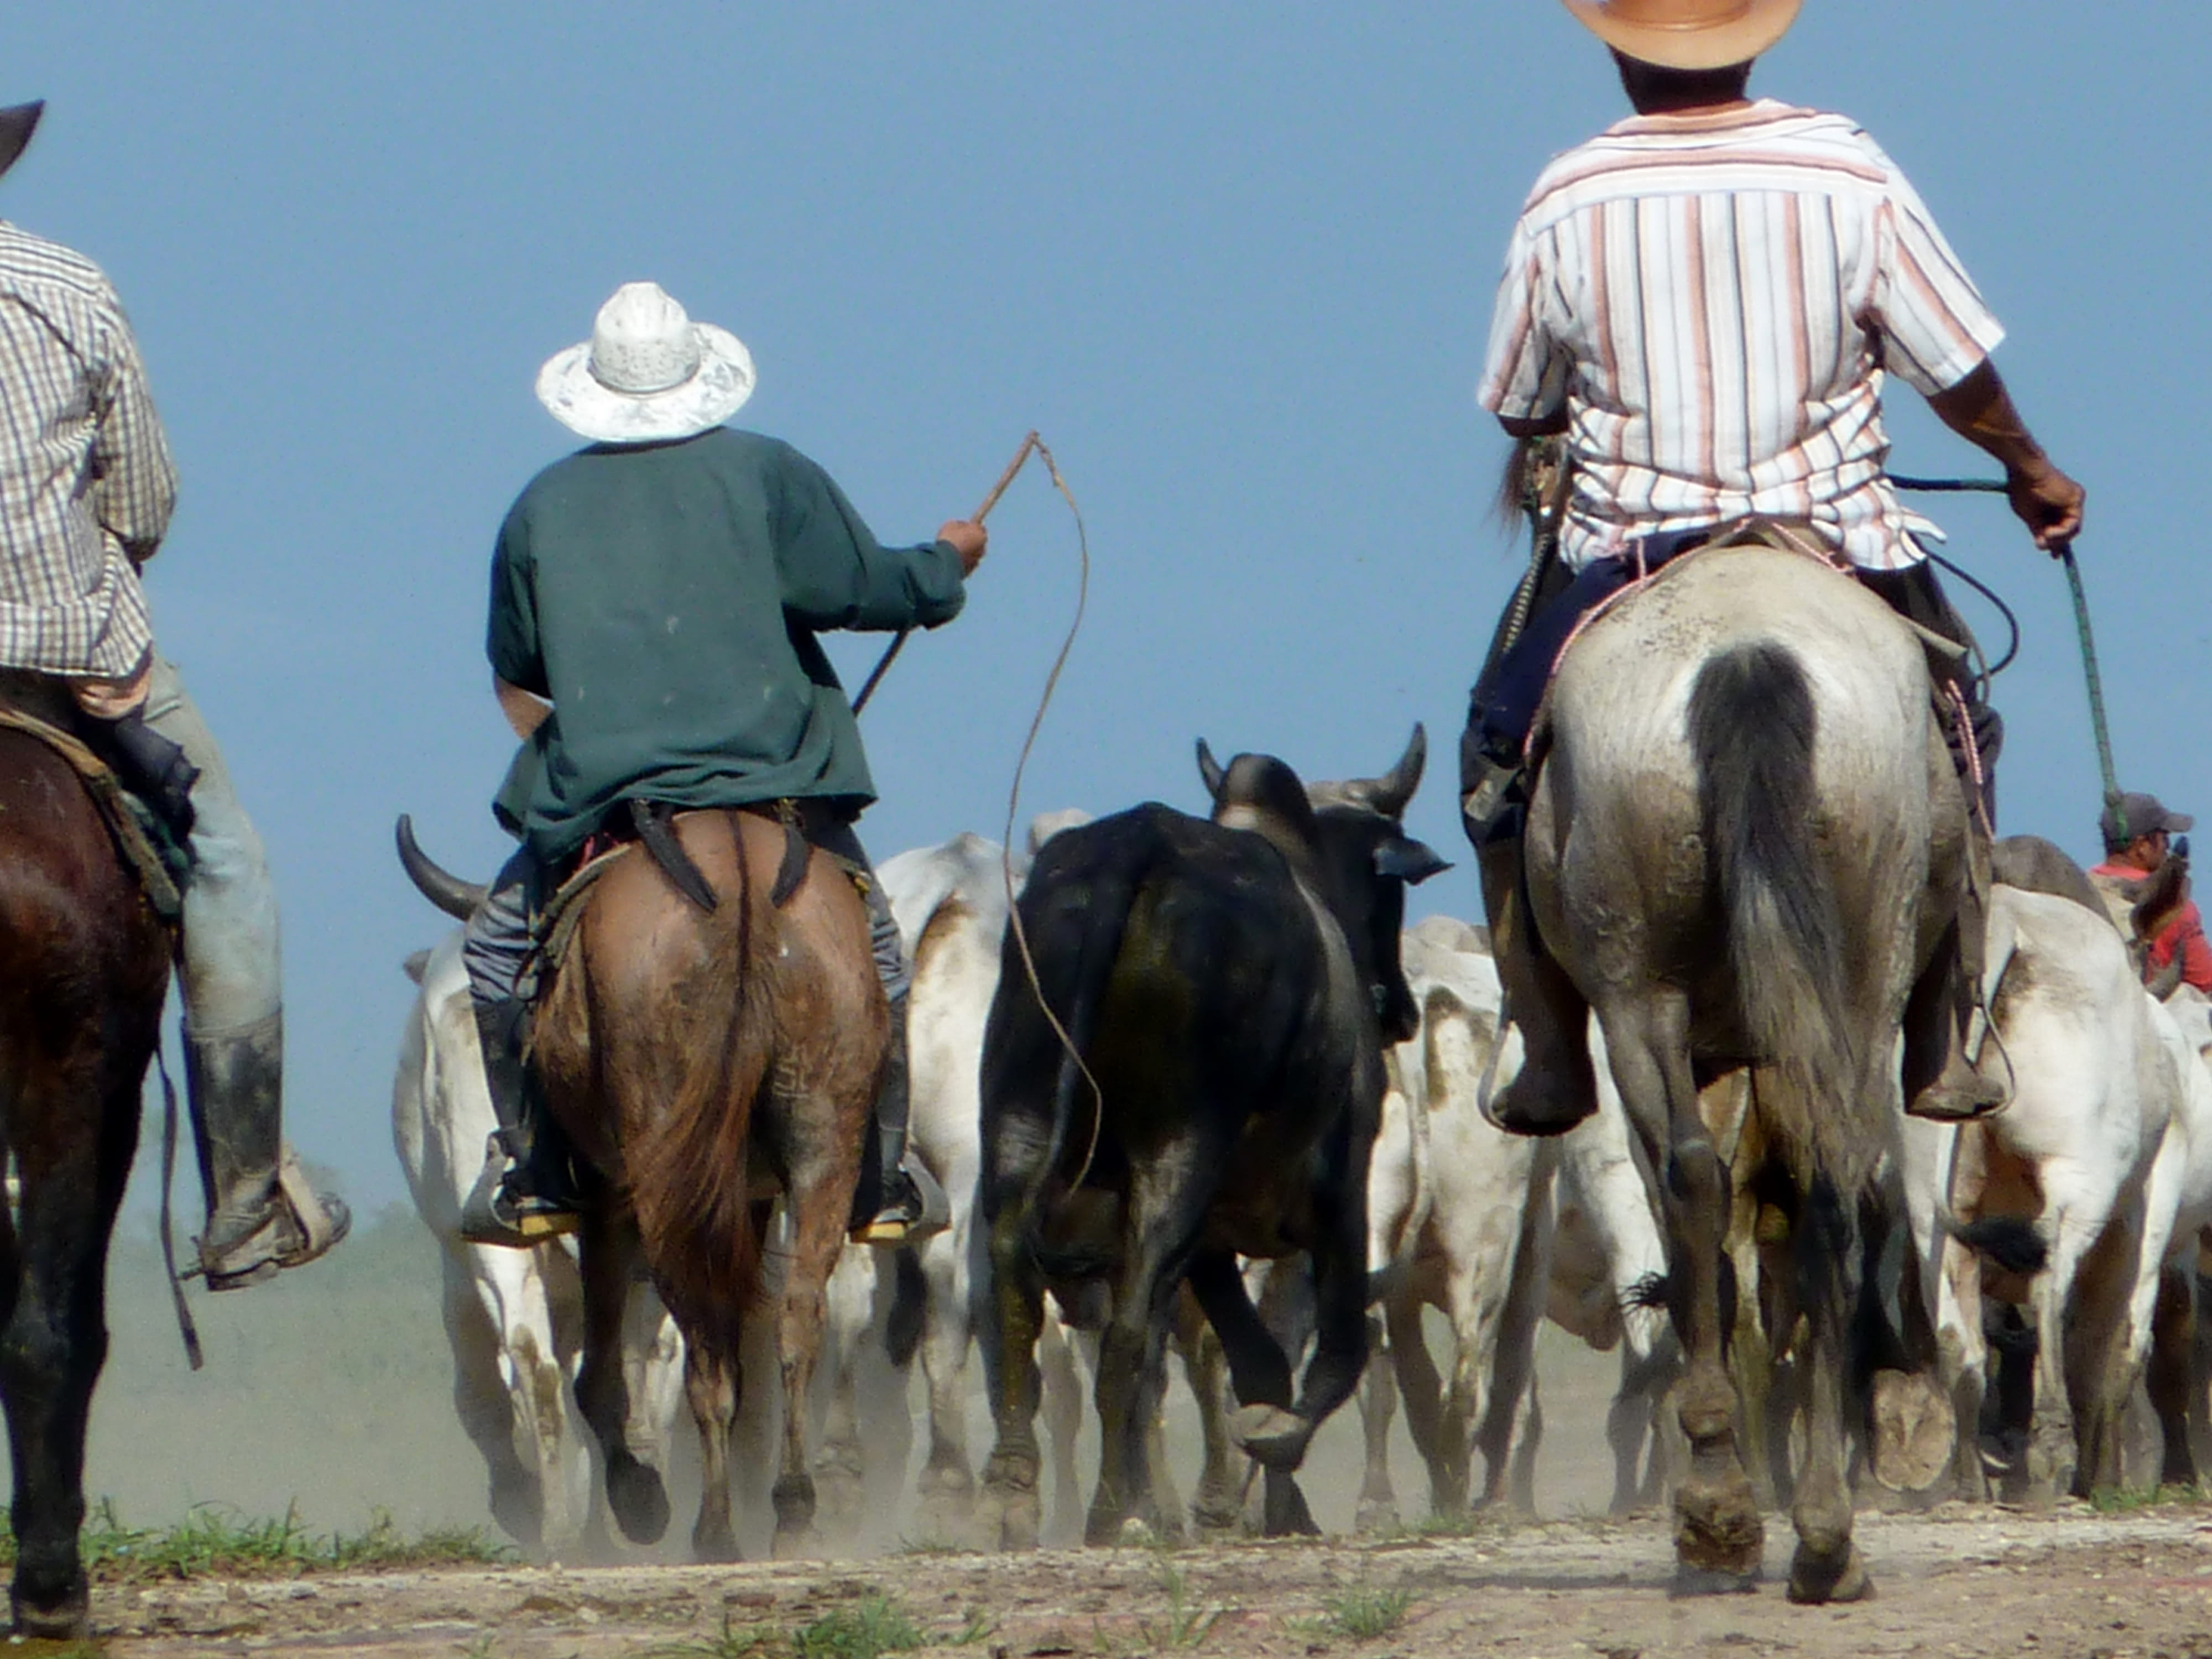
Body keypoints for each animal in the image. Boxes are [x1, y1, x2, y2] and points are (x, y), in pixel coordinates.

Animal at [973, 728, 1448, 1548]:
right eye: (1390, 895)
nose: (1400, 1010)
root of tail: (1135, 848)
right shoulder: (1339, 1198)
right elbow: (1332, 1352)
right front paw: (1278, 1451)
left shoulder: (1214, 1241)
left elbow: (1257, 1362)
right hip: (1181, 1149)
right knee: (1130, 1333)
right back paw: (1114, 1509)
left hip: (1019, 1118)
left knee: (1015, 1281)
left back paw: (1012, 1492)